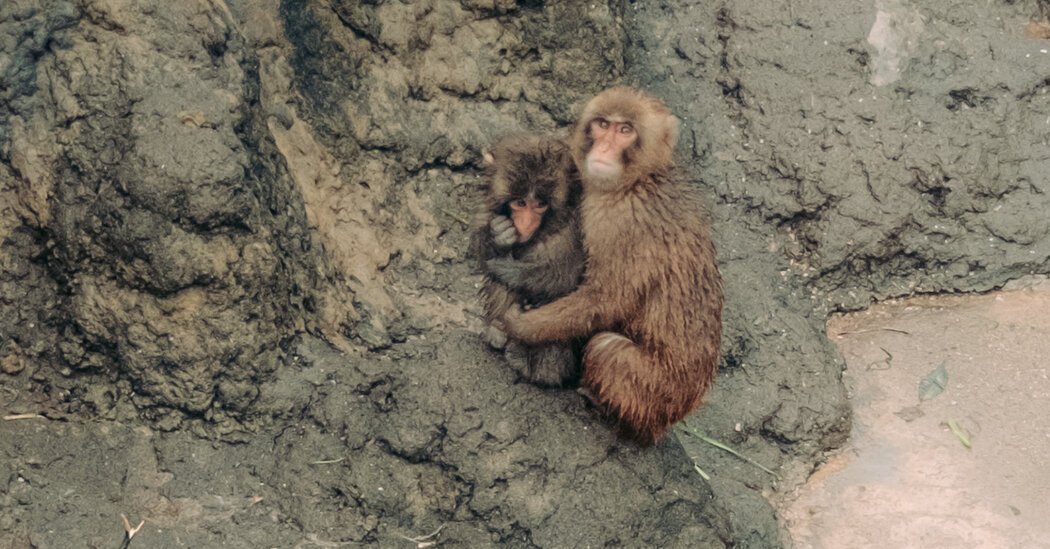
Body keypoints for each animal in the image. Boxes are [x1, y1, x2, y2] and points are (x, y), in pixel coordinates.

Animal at [473, 134, 587, 387]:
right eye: (520, 203)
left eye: (540, 205)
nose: (525, 223)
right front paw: (498, 236)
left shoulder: (574, 230)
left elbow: (563, 277)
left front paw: (505, 268)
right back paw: (496, 332)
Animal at [500, 87, 723, 446]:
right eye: (603, 124)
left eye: (625, 130)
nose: (604, 148)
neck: (637, 181)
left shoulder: (621, 223)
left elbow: (606, 299)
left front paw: (520, 325)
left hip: (654, 395)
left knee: (607, 348)